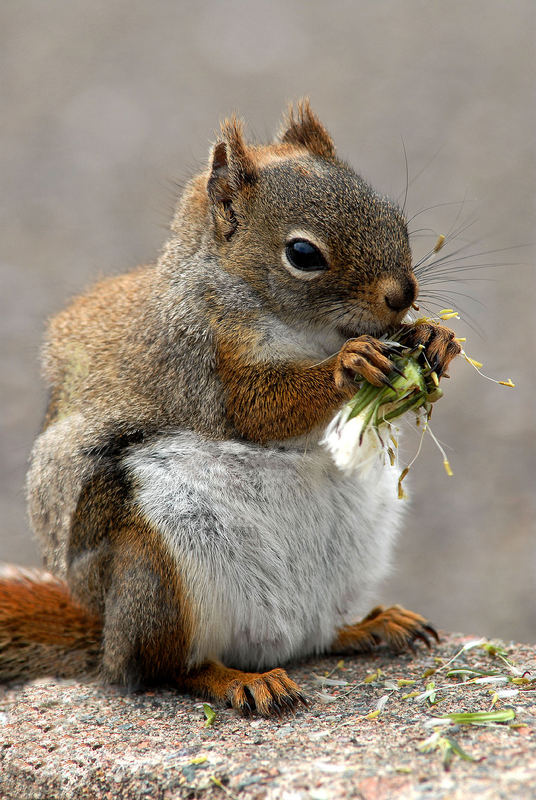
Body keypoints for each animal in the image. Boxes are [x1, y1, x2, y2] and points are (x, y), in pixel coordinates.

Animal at [1, 101, 460, 720]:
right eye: (302, 254)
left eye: (395, 218)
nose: (403, 294)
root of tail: (107, 634)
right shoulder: (204, 362)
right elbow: (259, 410)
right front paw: (351, 364)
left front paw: (434, 336)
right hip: (159, 575)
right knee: (165, 668)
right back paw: (238, 681)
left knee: (314, 639)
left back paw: (368, 626)